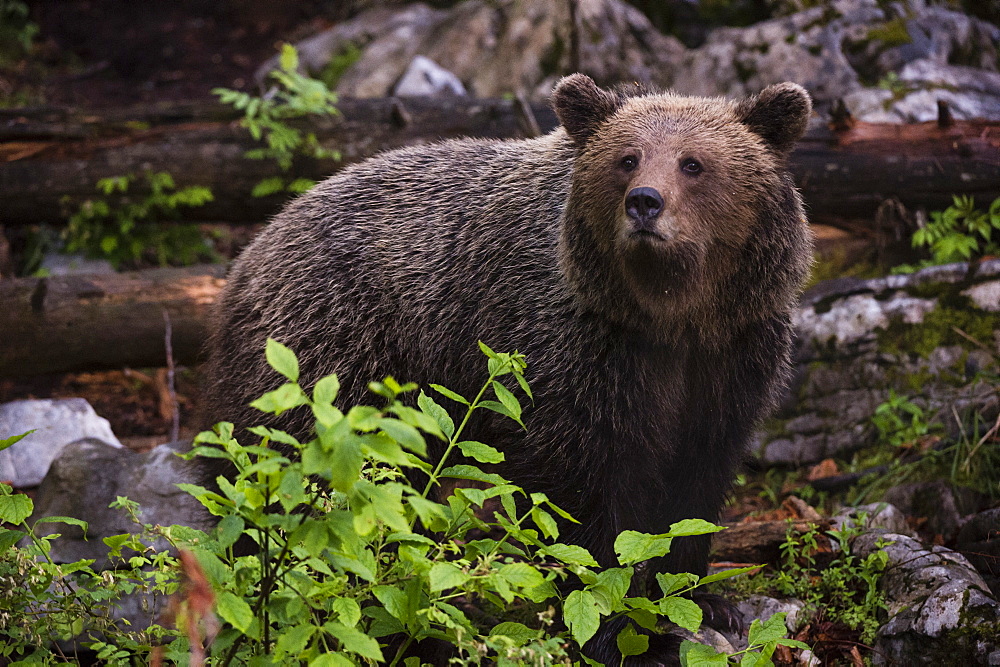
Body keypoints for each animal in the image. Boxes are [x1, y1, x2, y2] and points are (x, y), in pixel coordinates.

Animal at [203, 75, 812, 664]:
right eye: (627, 158)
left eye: (693, 162)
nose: (645, 202)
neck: (669, 318)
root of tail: (253, 249)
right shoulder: (571, 355)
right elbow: (583, 500)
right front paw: (623, 634)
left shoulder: (730, 359)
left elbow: (697, 479)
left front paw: (705, 600)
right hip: (334, 357)